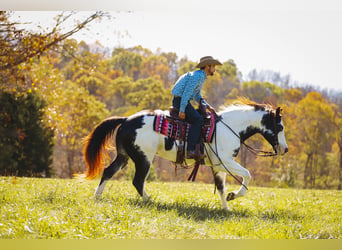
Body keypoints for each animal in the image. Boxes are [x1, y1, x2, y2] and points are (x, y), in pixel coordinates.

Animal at [83, 100, 288, 210]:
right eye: (279, 127)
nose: (285, 149)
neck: (230, 127)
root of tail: (126, 120)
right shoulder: (225, 162)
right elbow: (247, 175)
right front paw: (234, 195)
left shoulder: (217, 166)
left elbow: (221, 188)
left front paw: (226, 208)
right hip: (144, 158)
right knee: (138, 181)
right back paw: (151, 201)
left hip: (124, 156)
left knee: (108, 172)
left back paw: (97, 197)